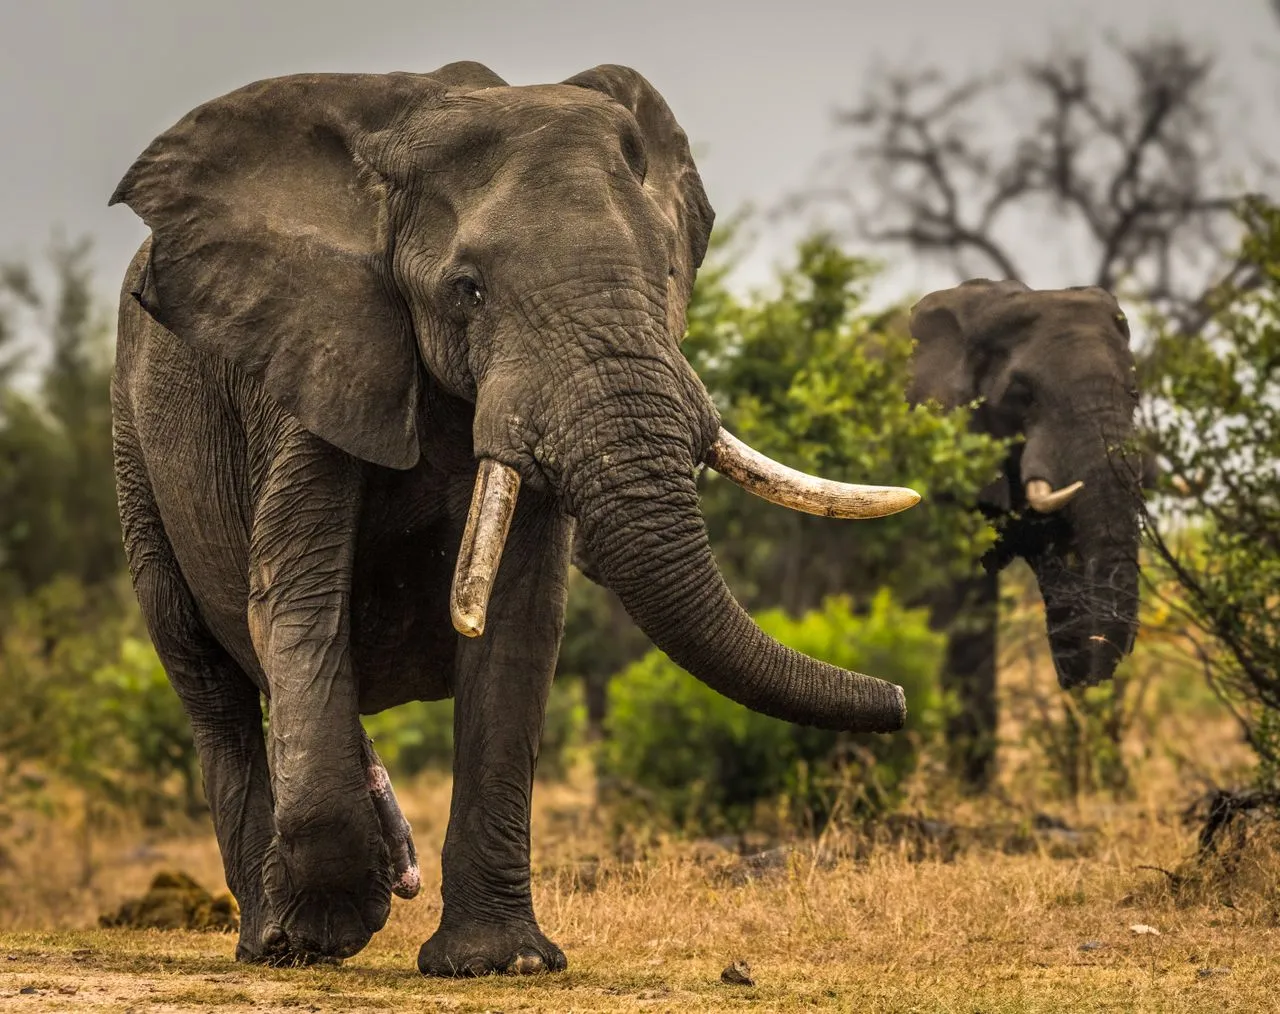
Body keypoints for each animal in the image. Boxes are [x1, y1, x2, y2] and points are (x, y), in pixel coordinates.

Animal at [107, 61, 922, 976]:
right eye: (468, 291)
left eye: (666, 276)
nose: (899, 700)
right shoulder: (310, 368)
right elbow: (298, 602)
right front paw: (332, 929)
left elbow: (518, 625)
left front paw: (501, 963)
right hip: (133, 449)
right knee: (206, 679)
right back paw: (272, 940)